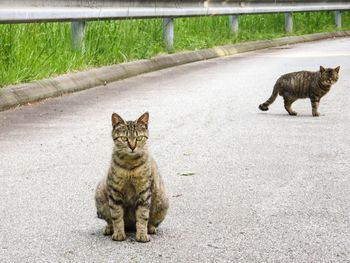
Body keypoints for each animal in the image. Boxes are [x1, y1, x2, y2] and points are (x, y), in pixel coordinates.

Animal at [94, 112, 168, 243]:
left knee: (150, 221)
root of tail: (130, 226)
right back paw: (109, 228)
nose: (132, 147)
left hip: (163, 201)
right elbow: (116, 215)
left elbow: (143, 215)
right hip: (100, 195)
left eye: (139, 138)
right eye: (124, 138)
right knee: (110, 219)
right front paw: (119, 233)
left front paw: (142, 234)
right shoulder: (115, 192)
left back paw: (150, 228)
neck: (130, 164)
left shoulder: (144, 191)